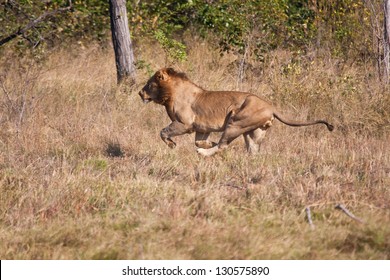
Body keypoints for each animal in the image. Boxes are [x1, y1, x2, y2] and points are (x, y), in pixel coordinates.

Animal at [139, 67, 334, 156]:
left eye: (149, 84)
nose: (140, 93)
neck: (169, 94)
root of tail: (272, 107)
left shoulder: (184, 124)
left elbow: (163, 132)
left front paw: (172, 145)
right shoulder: (202, 128)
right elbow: (199, 140)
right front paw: (206, 143)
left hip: (235, 122)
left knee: (223, 145)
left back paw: (203, 153)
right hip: (253, 132)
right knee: (253, 151)